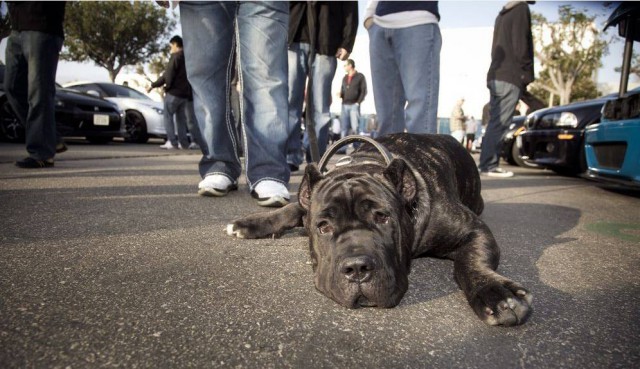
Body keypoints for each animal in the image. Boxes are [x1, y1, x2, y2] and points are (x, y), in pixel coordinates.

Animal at [228, 133, 532, 324]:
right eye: (323, 227)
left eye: (383, 218)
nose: (357, 268)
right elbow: (292, 208)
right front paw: (251, 223)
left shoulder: (473, 229)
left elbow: (470, 262)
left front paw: (495, 293)